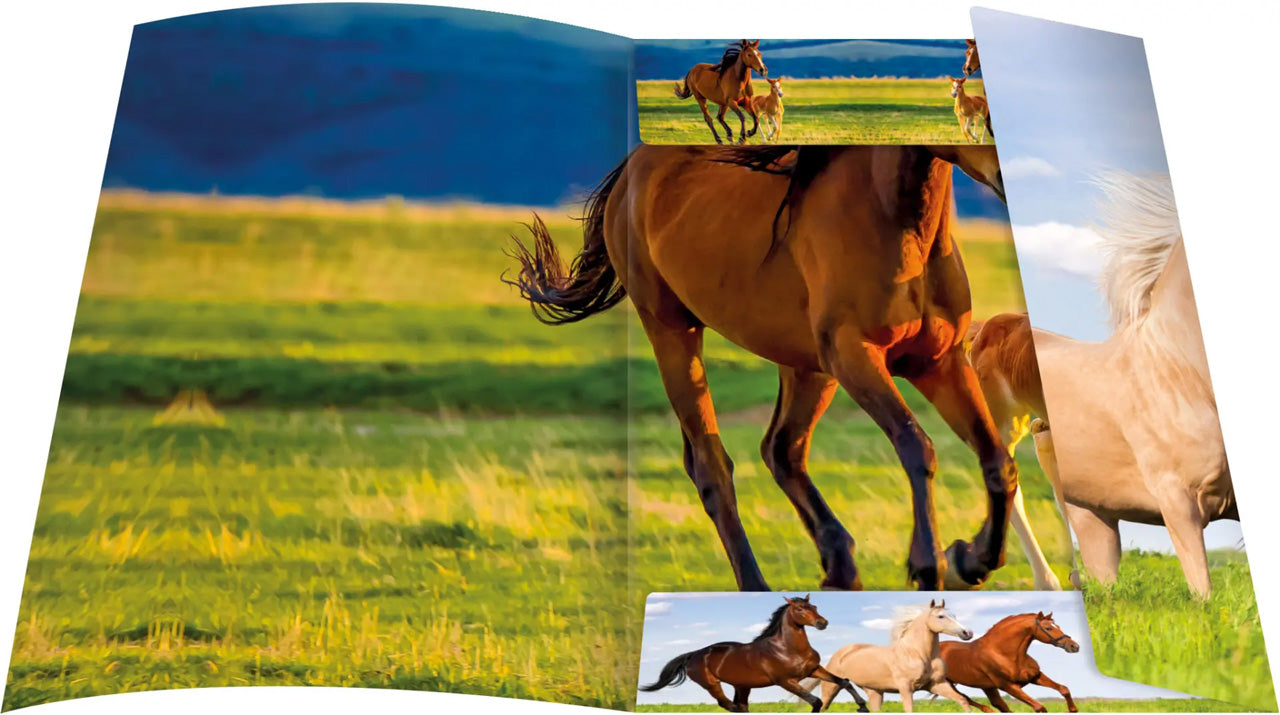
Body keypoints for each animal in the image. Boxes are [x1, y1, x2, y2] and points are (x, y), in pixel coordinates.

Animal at [506, 143, 1012, 593]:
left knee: (781, 449)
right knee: (712, 467)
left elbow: (996, 457)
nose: (1002, 177)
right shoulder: (856, 356)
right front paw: (929, 566)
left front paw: (970, 560)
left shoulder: (938, 362)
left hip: (806, 366)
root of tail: (631, 170)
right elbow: (916, 446)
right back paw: (759, 586)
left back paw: (840, 566)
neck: (896, 224)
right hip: (673, 334)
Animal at [640, 595, 868, 713]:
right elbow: (816, 701)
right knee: (728, 705)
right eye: (800, 609)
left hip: (742, 686)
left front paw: (862, 707)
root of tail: (694, 653)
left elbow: (844, 681)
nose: (823, 623)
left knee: (739, 706)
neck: (787, 650)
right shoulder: (785, 681)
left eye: (814, 605)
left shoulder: (814, 670)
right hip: (711, 684)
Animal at [801, 600, 976, 712]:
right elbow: (909, 710)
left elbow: (963, 700)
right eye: (940, 616)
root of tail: (840, 653)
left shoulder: (937, 684)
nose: (967, 633)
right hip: (831, 688)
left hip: (874, 692)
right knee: (824, 706)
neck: (918, 654)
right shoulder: (906, 688)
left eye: (955, 615)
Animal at [941, 611, 1080, 713]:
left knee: (999, 705)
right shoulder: (1009, 686)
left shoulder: (1035, 676)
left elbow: (1064, 689)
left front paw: (1072, 710)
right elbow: (1040, 707)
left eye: (1058, 626)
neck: (1004, 653)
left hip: (987, 687)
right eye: (1048, 628)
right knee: (964, 698)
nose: (1074, 646)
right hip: (946, 685)